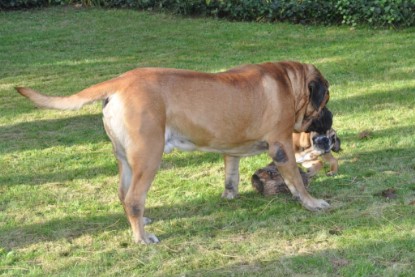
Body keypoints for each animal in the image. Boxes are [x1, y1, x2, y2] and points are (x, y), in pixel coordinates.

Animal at [16, 59, 334, 242]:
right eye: (326, 100)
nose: (331, 117)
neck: (289, 82)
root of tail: (119, 82)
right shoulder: (281, 146)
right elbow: (295, 179)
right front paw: (311, 202)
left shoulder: (231, 148)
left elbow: (230, 172)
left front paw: (229, 195)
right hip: (148, 156)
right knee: (134, 198)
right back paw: (142, 237)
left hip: (125, 160)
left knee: (123, 195)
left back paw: (140, 223)